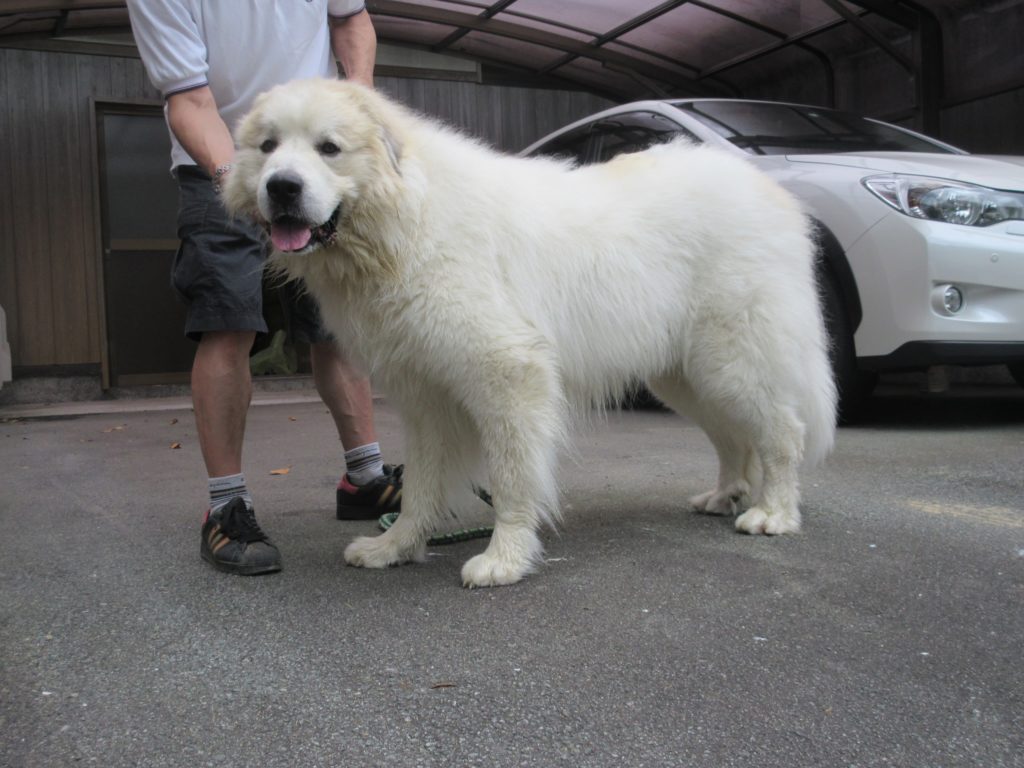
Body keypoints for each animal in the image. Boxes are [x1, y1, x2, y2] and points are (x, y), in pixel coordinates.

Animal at [226, 79, 839, 589]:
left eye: (329, 148)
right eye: (267, 147)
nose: (282, 187)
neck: (406, 223)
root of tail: (773, 192)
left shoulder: (508, 372)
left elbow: (512, 475)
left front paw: (506, 558)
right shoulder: (426, 397)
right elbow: (422, 484)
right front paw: (396, 547)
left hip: (730, 359)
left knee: (782, 433)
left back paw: (774, 512)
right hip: (685, 375)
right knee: (733, 436)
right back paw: (725, 494)